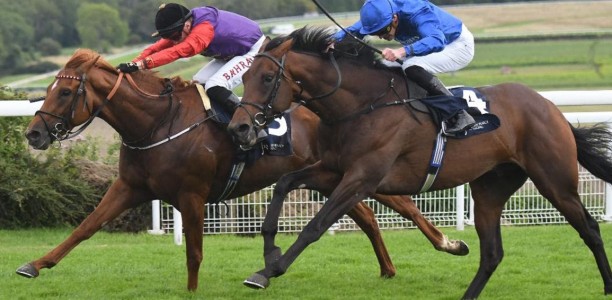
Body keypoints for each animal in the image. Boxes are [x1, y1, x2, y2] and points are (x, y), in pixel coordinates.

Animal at [17, 48, 468, 290]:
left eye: (67, 91)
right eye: (49, 88)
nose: (34, 134)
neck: (157, 123)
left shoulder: (192, 195)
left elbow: (194, 251)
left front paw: (192, 291)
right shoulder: (129, 186)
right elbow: (85, 227)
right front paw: (34, 265)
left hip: (353, 172)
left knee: (400, 205)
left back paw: (449, 244)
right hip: (332, 178)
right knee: (370, 216)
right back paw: (391, 268)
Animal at [227, 27, 612, 298]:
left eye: (266, 78)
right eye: (243, 77)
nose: (239, 127)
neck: (362, 105)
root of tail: (550, 107)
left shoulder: (361, 178)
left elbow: (315, 226)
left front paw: (267, 272)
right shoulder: (333, 169)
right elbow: (284, 184)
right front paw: (269, 251)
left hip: (554, 179)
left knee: (589, 228)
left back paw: (607, 285)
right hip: (490, 187)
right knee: (492, 253)